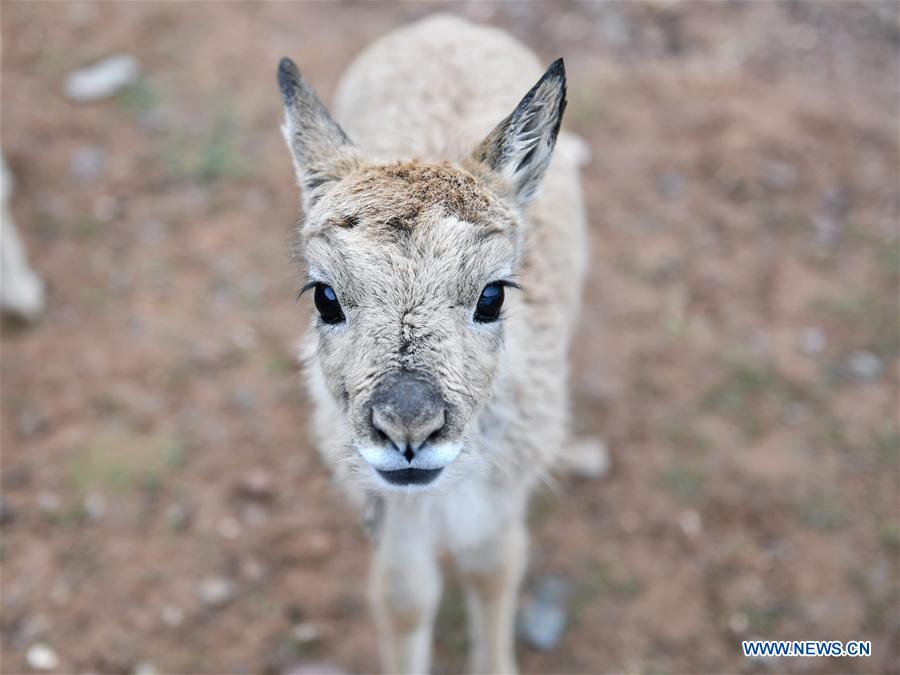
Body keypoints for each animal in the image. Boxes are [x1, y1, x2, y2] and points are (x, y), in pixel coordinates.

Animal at [278, 14, 600, 674]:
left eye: (493, 295)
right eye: (325, 296)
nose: (409, 429)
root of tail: (445, 23)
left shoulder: (502, 502)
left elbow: (493, 572)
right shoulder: (394, 513)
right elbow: (404, 599)